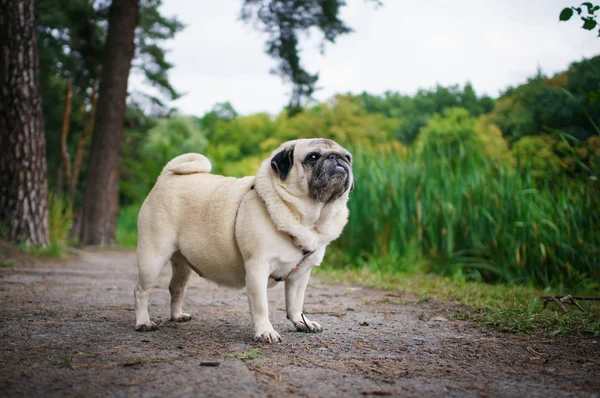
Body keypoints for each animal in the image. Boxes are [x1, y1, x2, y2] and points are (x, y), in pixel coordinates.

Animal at [134, 138, 354, 342]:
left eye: (348, 157)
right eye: (313, 157)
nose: (337, 158)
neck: (308, 220)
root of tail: (166, 176)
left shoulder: (300, 274)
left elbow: (295, 304)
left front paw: (301, 322)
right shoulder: (257, 267)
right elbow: (261, 306)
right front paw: (265, 332)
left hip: (183, 263)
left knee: (176, 287)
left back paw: (177, 316)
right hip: (153, 256)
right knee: (141, 291)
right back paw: (143, 322)